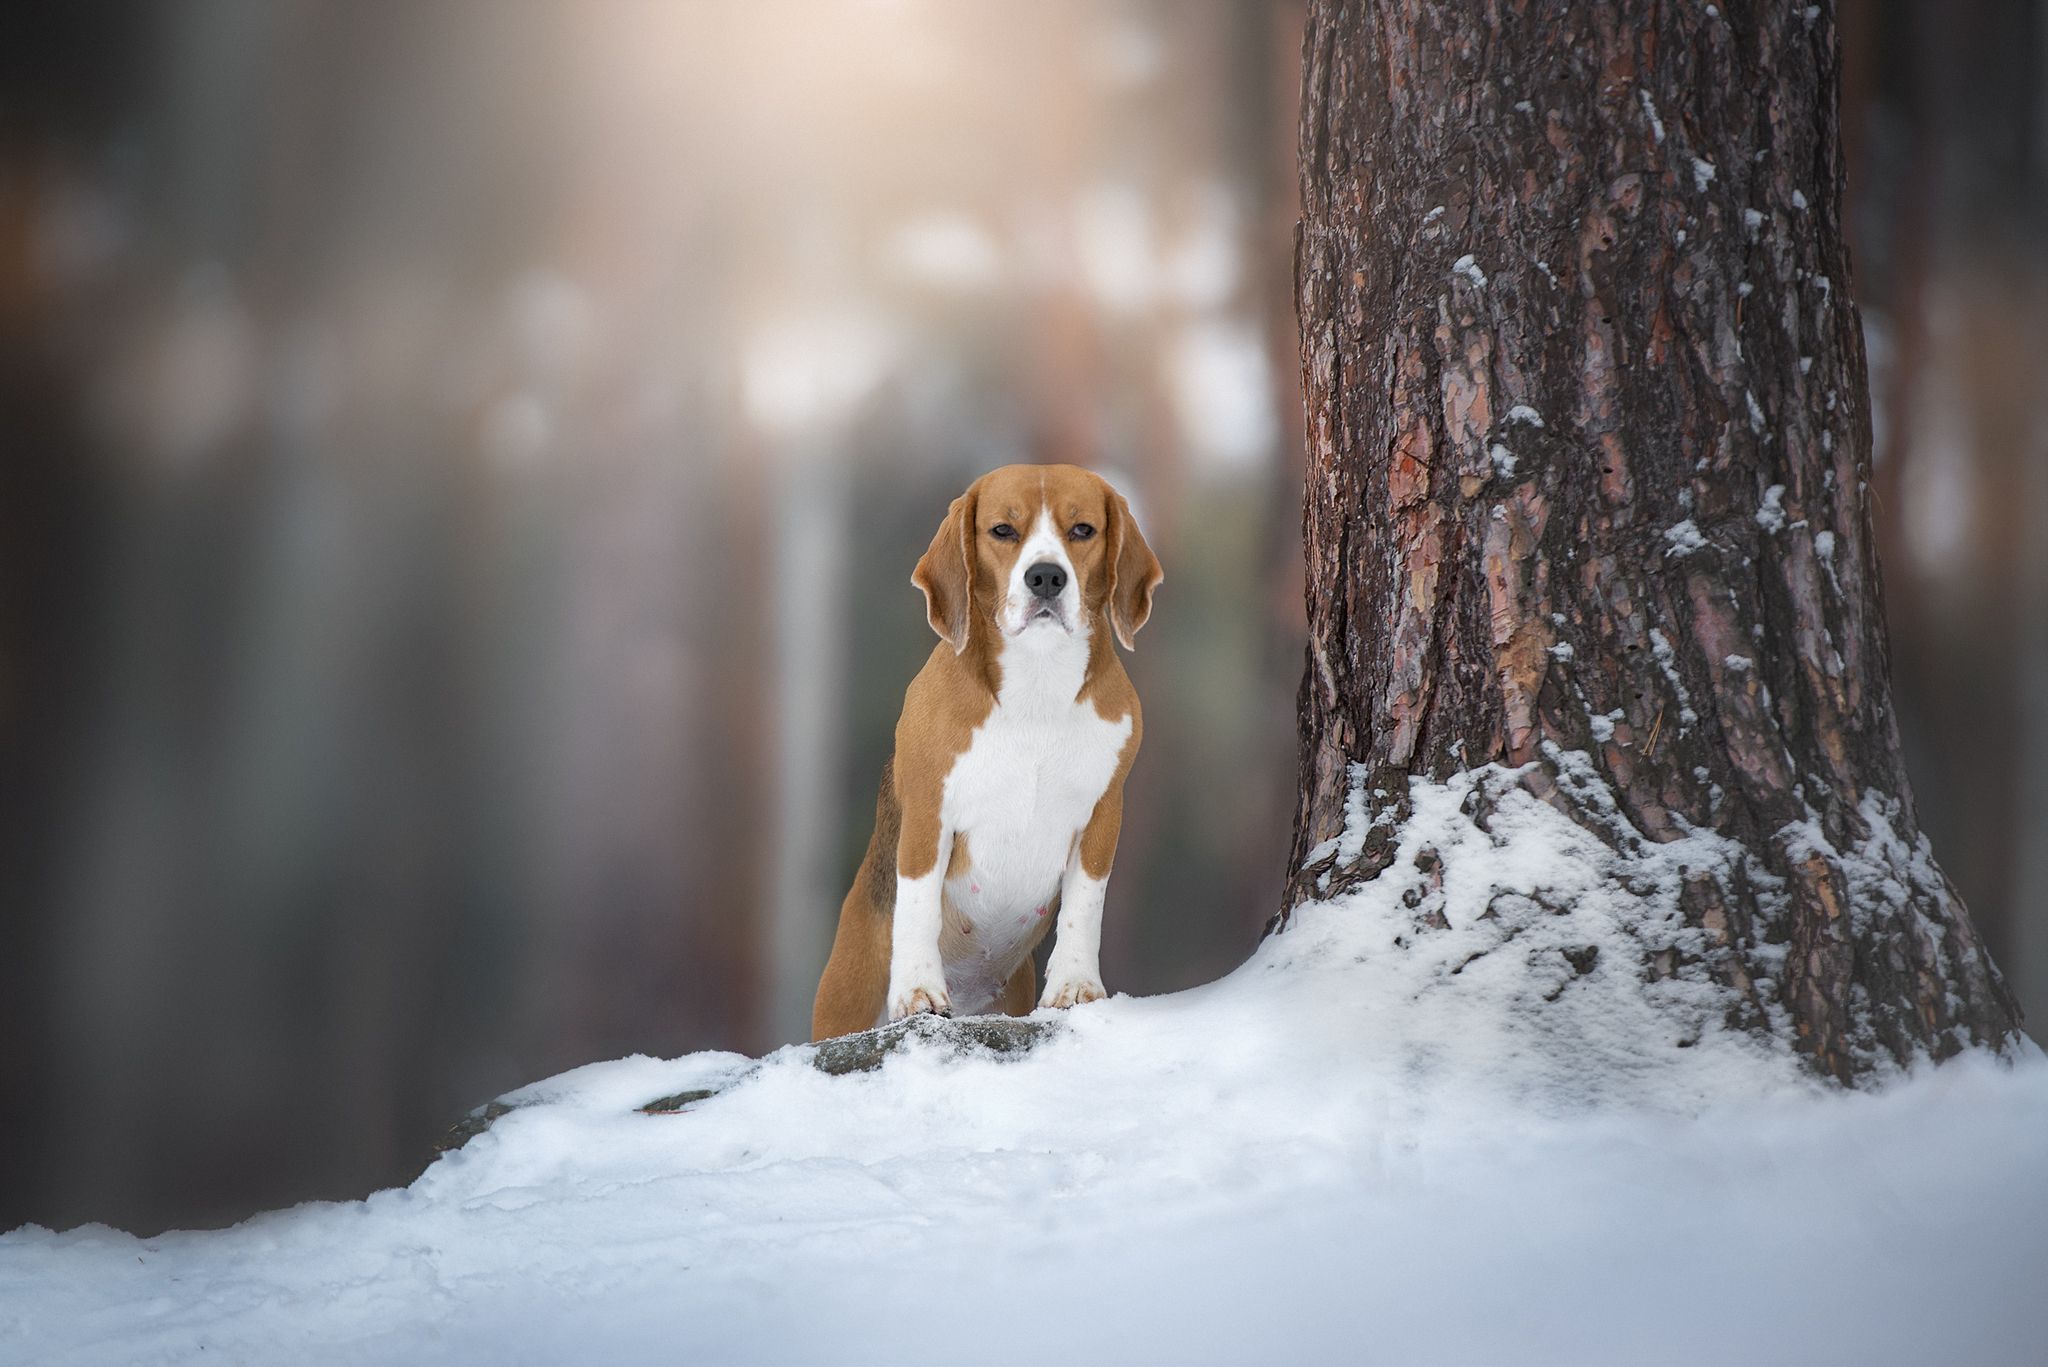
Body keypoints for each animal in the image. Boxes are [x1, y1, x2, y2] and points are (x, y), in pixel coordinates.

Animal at [806, 463, 1163, 1037]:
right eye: (1002, 530)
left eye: (1082, 529)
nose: (1046, 576)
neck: (1038, 679)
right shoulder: (928, 812)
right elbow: (918, 904)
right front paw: (917, 993)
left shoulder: (1104, 810)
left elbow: (1085, 904)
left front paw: (1075, 985)